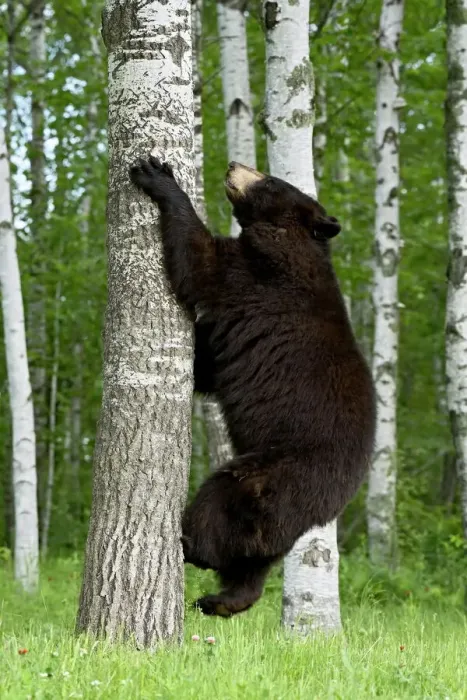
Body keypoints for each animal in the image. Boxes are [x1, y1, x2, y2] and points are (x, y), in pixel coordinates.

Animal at [129, 156, 376, 617]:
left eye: (270, 179)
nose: (234, 164)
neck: (287, 236)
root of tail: (330, 505)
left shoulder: (259, 273)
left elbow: (200, 261)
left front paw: (157, 175)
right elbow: (210, 364)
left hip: (271, 474)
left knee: (220, 507)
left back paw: (188, 542)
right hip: (275, 509)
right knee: (253, 562)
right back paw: (218, 599)